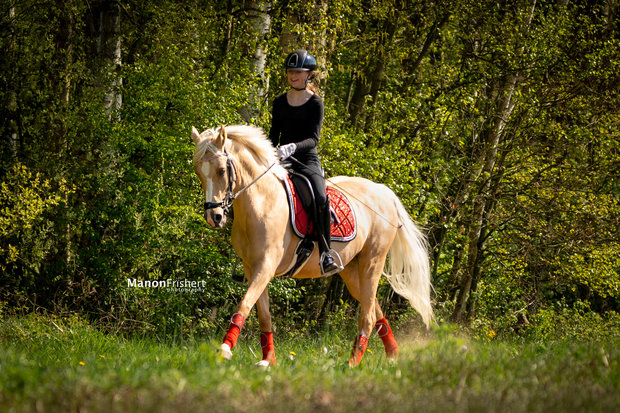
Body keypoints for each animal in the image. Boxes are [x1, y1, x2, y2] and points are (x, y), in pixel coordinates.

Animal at [189, 124, 432, 366]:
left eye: (222, 170)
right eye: (199, 172)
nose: (214, 217)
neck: (261, 201)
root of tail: (384, 191)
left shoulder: (265, 267)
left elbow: (244, 305)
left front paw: (224, 349)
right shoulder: (253, 269)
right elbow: (264, 316)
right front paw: (268, 361)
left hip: (372, 262)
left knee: (368, 316)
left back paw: (352, 364)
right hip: (352, 271)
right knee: (373, 308)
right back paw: (392, 355)